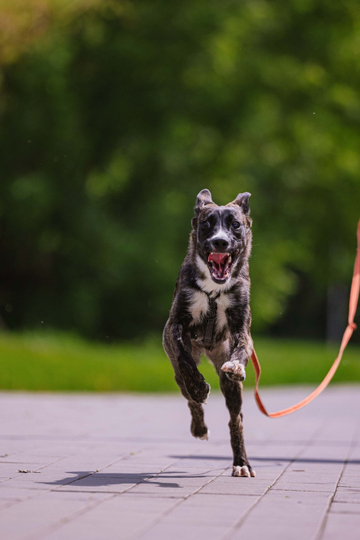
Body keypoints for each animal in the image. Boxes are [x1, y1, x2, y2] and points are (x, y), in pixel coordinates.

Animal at [162, 189, 255, 476]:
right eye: (206, 224)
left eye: (235, 225)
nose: (220, 242)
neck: (214, 289)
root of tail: (208, 349)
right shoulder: (174, 325)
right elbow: (184, 360)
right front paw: (199, 386)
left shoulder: (241, 326)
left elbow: (241, 347)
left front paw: (236, 365)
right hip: (178, 377)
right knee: (190, 399)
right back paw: (199, 427)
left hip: (232, 387)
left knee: (236, 420)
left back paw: (241, 463)